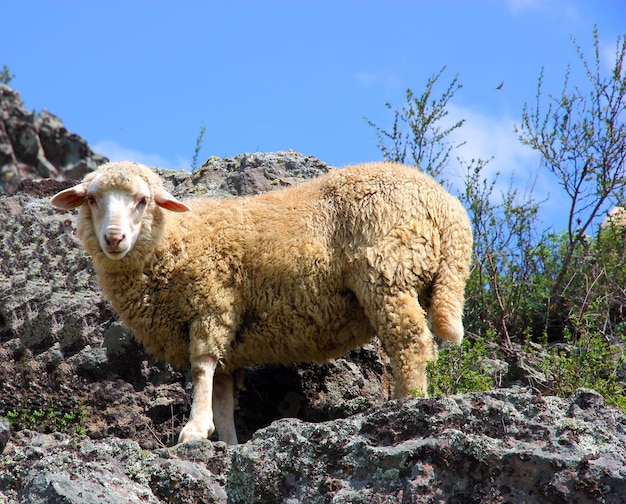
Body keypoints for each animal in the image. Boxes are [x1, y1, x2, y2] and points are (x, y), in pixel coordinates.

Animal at [51, 160, 470, 444]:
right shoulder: (228, 336)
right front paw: (227, 441)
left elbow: (202, 369)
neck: (174, 240)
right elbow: (222, 391)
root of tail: (447, 207)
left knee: (411, 342)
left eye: (142, 200)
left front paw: (194, 428)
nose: (114, 239)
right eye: (92, 199)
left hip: (388, 272)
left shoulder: (213, 304)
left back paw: (406, 403)